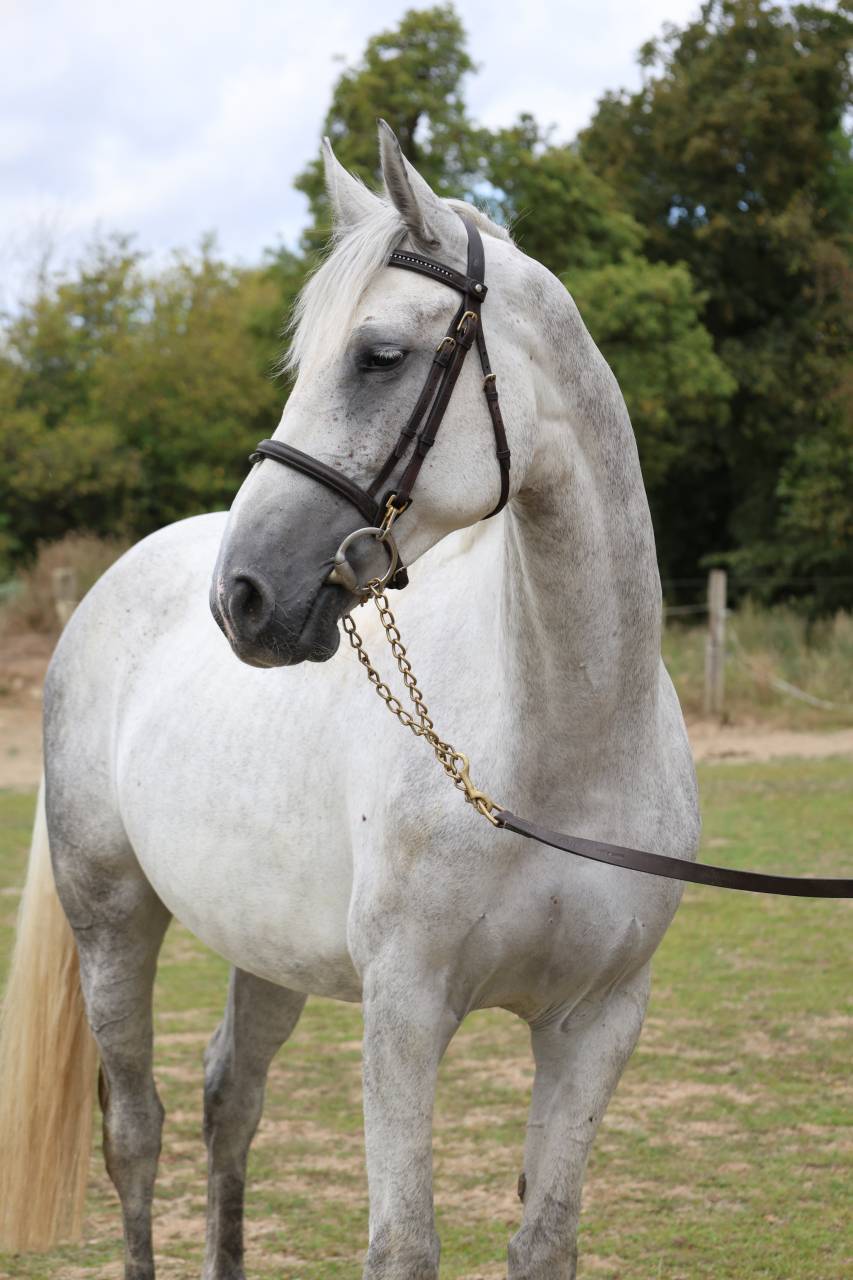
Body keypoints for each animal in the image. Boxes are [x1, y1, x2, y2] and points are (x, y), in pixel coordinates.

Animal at [0, 122, 700, 1279]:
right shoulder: (404, 1010)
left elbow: (544, 1239)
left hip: (263, 944)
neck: (563, 748)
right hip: (114, 922)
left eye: (377, 356)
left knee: (229, 1102)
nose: (241, 596)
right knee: (135, 1133)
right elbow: (402, 1245)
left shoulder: (597, 1023)